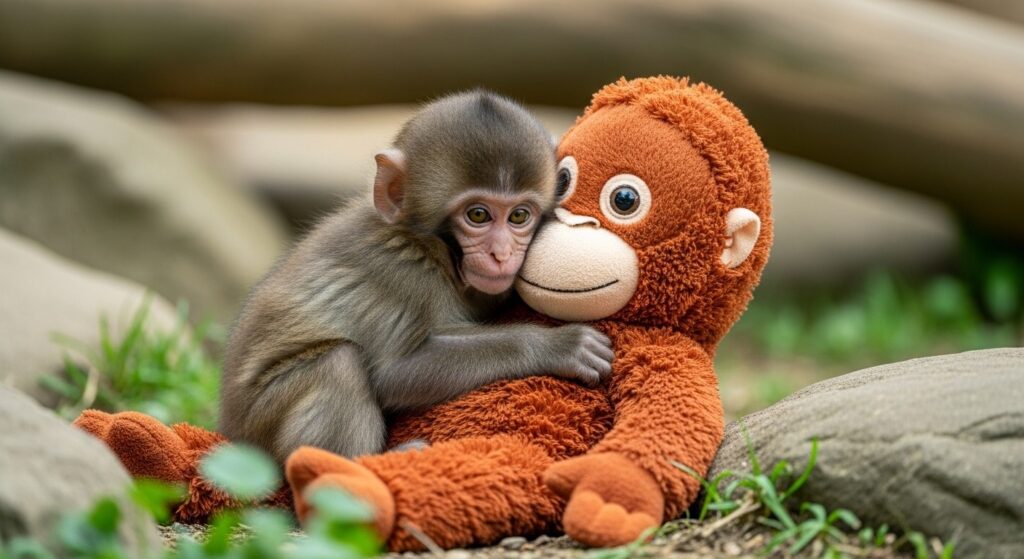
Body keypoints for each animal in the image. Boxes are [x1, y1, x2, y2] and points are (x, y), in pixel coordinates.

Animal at [219, 91, 615, 464]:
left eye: (519, 216)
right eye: (478, 215)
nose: (501, 254)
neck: (429, 249)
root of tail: (230, 434)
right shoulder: (402, 275)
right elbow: (395, 372)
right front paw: (556, 344)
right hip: (263, 425)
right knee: (338, 364)